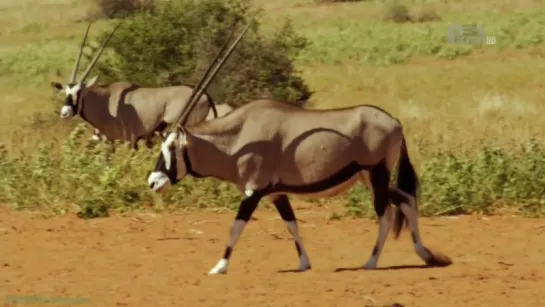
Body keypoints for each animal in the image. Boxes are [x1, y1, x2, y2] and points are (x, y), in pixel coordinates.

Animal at [50, 21, 218, 150]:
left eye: (80, 92)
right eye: (66, 92)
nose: (65, 112)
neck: (105, 101)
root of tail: (205, 95)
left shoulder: (129, 141)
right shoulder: (110, 141)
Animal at [146, 22, 450, 276]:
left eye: (172, 147)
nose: (153, 182)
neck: (237, 138)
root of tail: (395, 121)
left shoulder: (253, 192)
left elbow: (236, 226)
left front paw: (219, 267)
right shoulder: (276, 194)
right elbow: (291, 224)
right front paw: (304, 263)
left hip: (377, 174)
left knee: (385, 213)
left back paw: (372, 262)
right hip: (371, 178)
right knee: (406, 200)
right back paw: (426, 255)